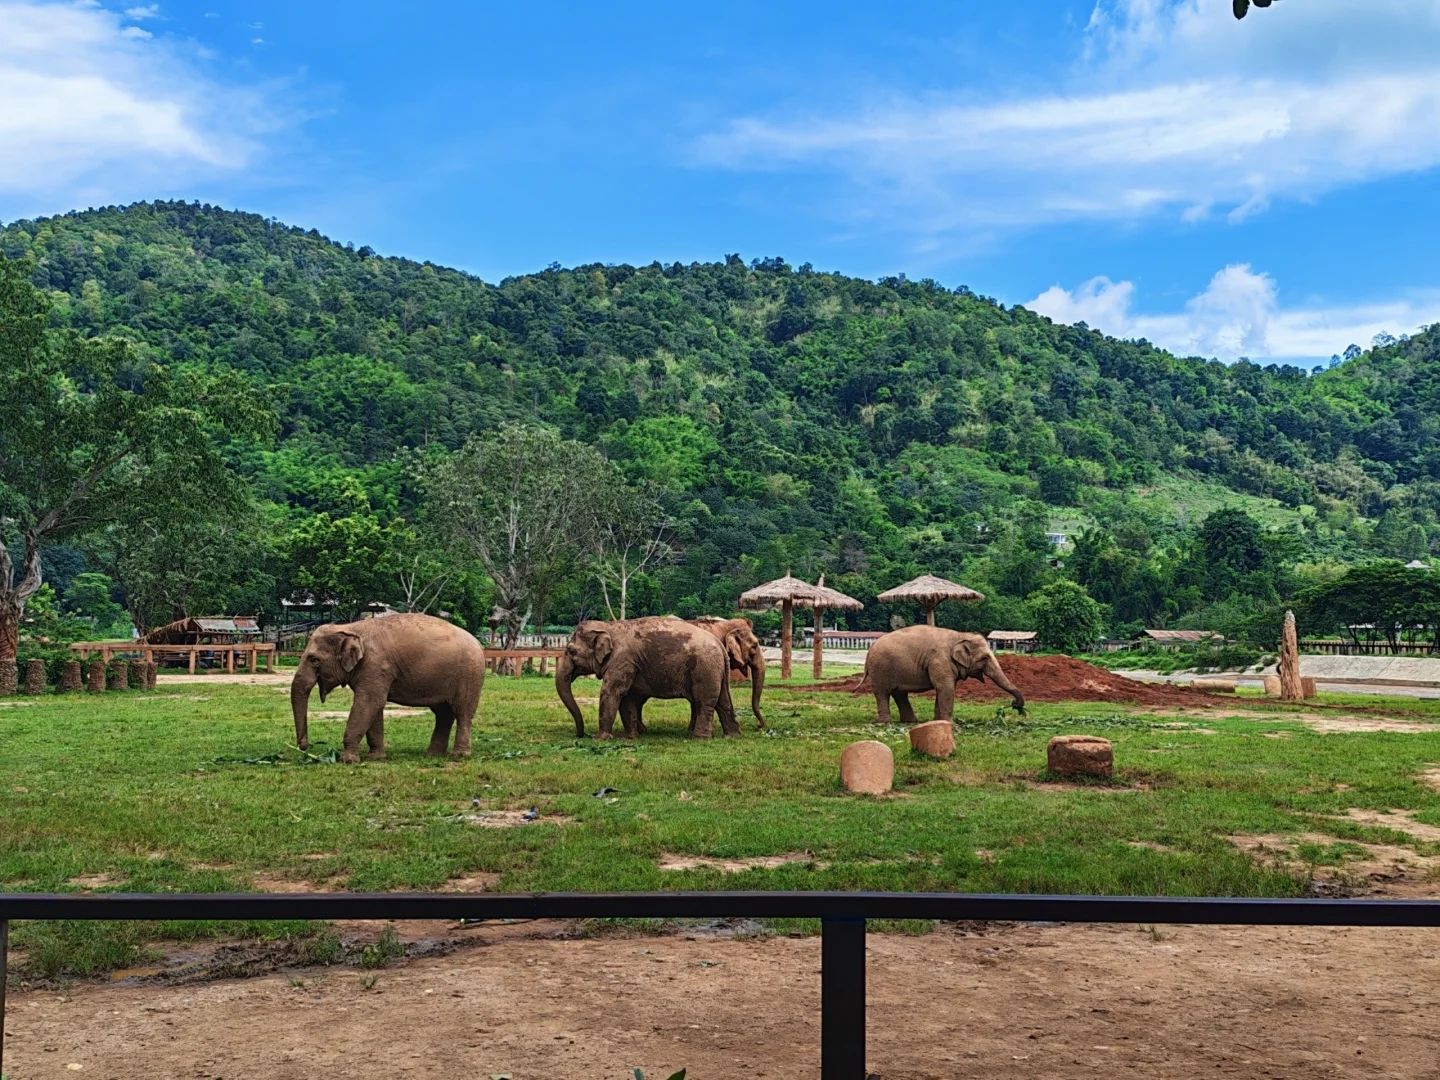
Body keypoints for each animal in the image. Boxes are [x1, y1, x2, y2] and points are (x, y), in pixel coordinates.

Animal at [291, 613, 486, 763]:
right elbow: (375, 706)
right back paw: (432, 755)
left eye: (313, 659)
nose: (304, 746)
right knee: (443, 713)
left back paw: (459, 755)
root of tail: (479, 644)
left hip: (470, 675)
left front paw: (347, 760)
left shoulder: (376, 665)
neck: (350, 627)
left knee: (463, 711)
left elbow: (369, 702)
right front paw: (376, 757)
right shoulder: (373, 671)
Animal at [555, 617, 739, 739]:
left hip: (704, 668)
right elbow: (627, 697)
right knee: (723, 701)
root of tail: (720, 645)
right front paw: (631, 738)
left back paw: (699, 738)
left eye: (571, 651)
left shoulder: (622, 659)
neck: (609, 626)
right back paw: (732, 735)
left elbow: (611, 692)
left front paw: (600, 739)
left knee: (704, 701)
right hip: (715, 670)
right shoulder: (629, 664)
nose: (581, 735)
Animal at [863, 625, 1025, 725]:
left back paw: (910, 722)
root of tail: (870, 649)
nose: (1014, 705)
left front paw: (938, 722)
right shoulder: (940, 659)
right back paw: (886, 723)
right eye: (985, 658)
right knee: (882, 693)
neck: (960, 635)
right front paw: (950, 724)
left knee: (899, 693)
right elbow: (945, 688)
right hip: (880, 669)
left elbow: (944, 689)